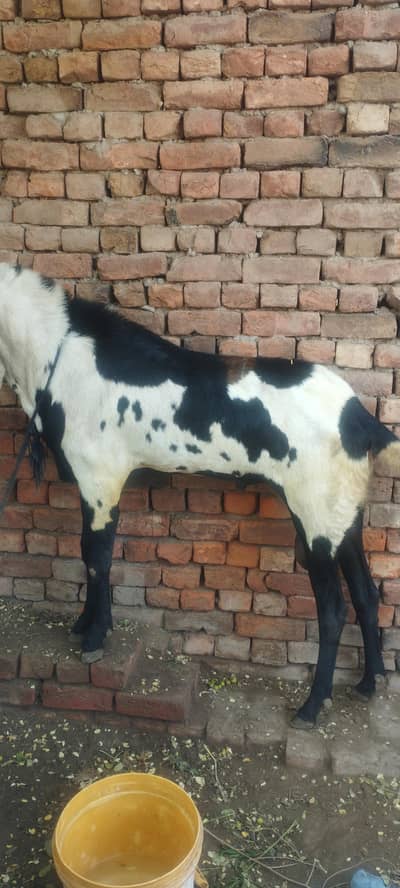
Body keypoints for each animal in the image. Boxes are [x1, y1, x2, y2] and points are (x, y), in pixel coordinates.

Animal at [0, 262, 398, 727]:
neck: (59, 355)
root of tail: (359, 418)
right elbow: (97, 556)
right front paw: (87, 624)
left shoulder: (99, 480)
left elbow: (95, 557)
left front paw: (93, 638)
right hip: (343, 517)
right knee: (367, 594)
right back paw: (369, 682)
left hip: (315, 519)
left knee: (333, 611)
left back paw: (312, 706)